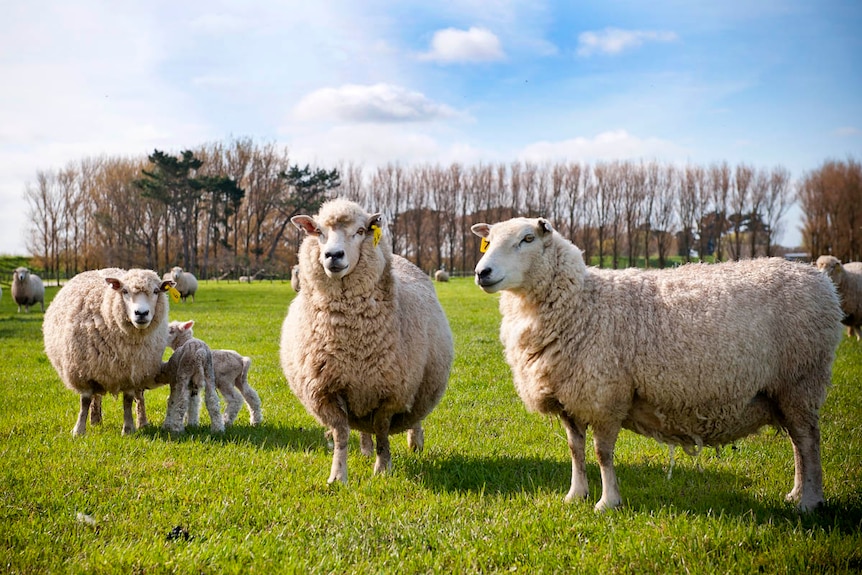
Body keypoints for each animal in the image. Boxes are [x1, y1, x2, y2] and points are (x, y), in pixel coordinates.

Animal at [43, 270, 175, 436]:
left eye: (156, 291)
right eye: (124, 291)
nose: (141, 313)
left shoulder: (131, 374)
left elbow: (128, 400)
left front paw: (128, 429)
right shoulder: (83, 372)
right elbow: (85, 401)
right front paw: (79, 430)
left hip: (140, 371)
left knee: (139, 396)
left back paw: (142, 422)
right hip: (97, 367)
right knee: (96, 395)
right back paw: (95, 420)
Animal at [284, 200, 460, 484]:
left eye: (359, 231)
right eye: (319, 232)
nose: (333, 255)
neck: (352, 338)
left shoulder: (391, 392)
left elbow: (382, 431)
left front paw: (383, 469)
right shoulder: (327, 390)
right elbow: (341, 434)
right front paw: (338, 476)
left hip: (415, 385)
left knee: (413, 419)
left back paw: (415, 443)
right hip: (358, 393)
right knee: (363, 428)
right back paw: (365, 450)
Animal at [472, 218, 844, 510]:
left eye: (527, 239)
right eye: (488, 242)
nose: (481, 272)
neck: (582, 301)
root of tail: (819, 281)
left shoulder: (606, 396)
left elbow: (601, 453)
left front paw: (608, 502)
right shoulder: (570, 398)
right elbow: (575, 450)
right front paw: (575, 495)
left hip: (800, 379)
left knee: (808, 441)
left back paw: (810, 501)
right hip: (781, 390)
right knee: (798, 443)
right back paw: (796, 493)